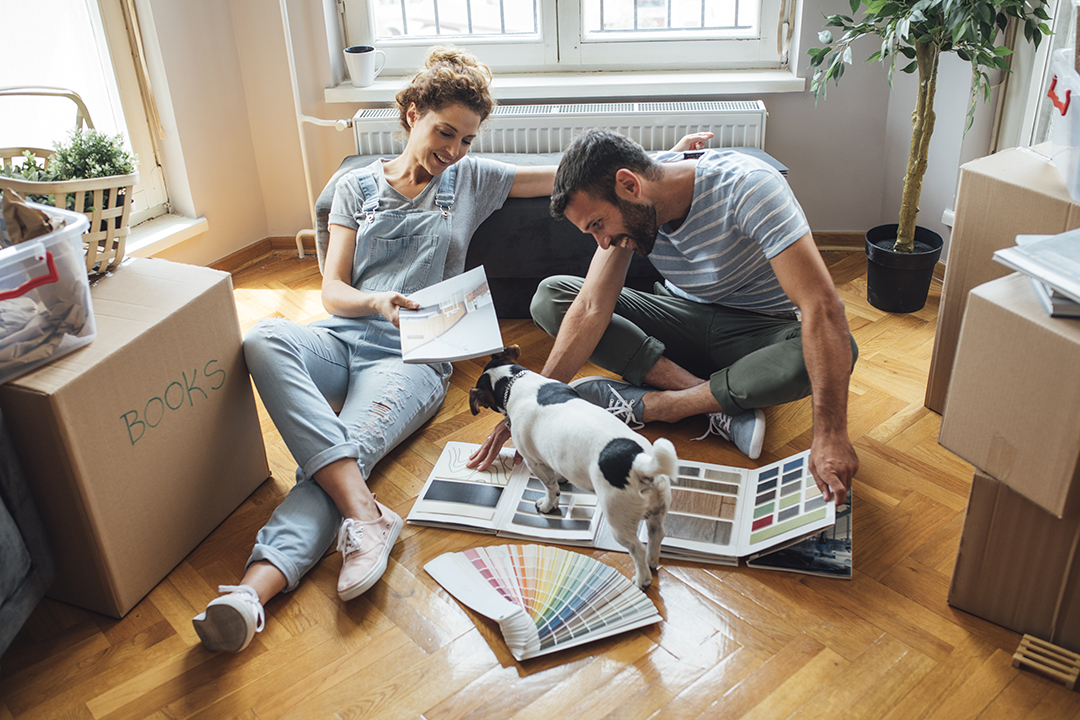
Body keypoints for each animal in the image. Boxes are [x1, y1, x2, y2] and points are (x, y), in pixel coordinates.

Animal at [466, 345, 673, 587]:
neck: (514, 381)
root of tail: (639, 462)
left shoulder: (533, 462)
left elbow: (550, 488)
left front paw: (548, 505)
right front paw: (561, 477)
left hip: (619, 520)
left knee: (636, 549)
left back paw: (642, 580)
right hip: (658, 509)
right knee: (656, 535)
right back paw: (652, 561)